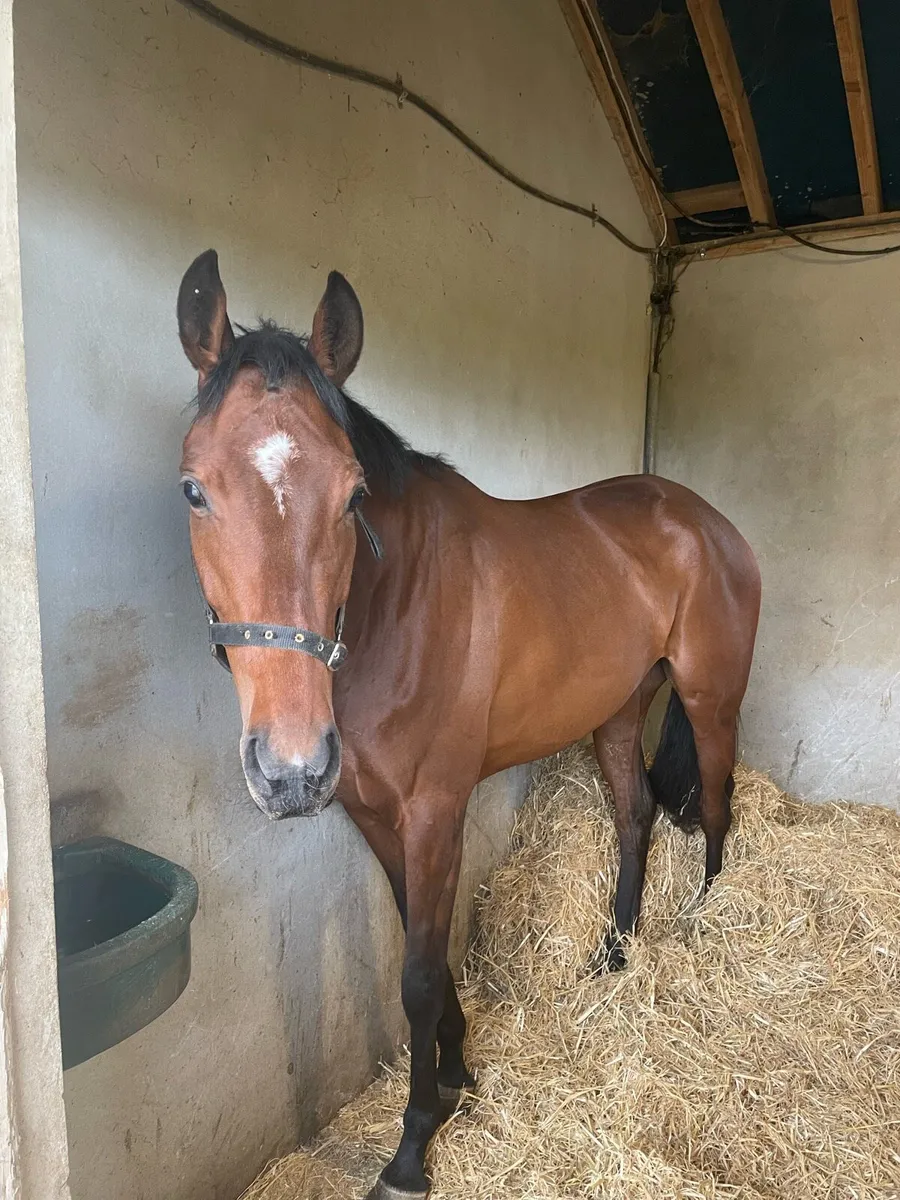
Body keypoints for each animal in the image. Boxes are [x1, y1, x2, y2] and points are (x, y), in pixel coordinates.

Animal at [176, 249, 761, 1200]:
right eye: (194, 489)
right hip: (617, 710)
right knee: (635, 816)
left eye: (353, 496)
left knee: (715, 809)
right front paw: (455, 1073)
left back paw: (700, 930)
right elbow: (424, 947)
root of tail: (706, 520)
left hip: (712, 702)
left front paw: (415, 1145)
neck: (396, 606)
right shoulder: (375, 816)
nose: (291, 766)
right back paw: (614, 955)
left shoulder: (435, 810)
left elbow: (417, 975)